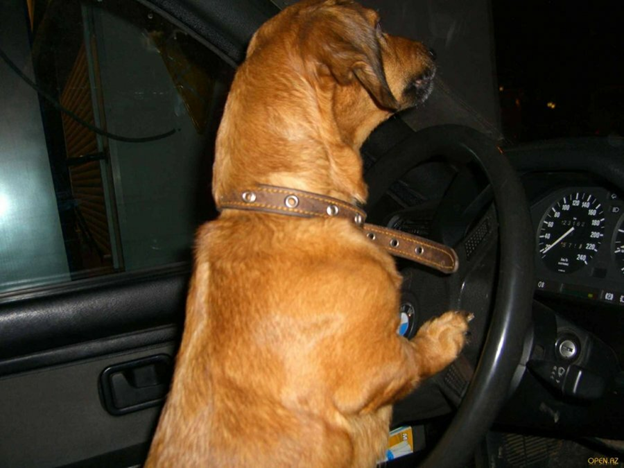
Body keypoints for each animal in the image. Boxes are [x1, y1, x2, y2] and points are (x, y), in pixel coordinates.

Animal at [145, 1, 469, 466]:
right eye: (380, 28)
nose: (432, 49)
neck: (289, 205)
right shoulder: (381, 366)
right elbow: (416, 354)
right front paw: (444, 335)